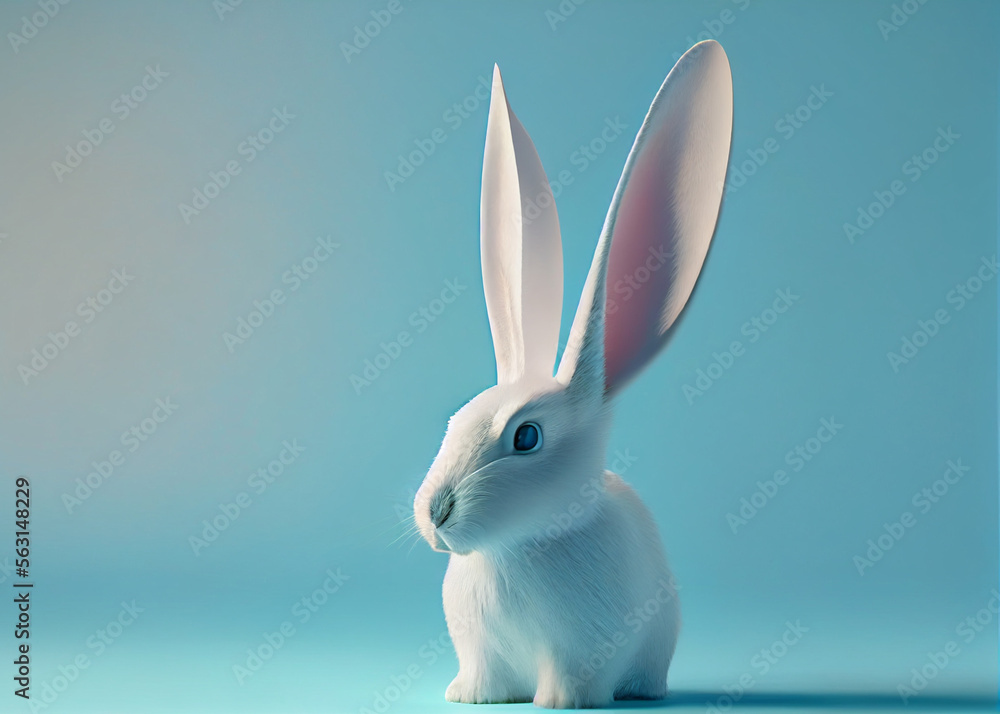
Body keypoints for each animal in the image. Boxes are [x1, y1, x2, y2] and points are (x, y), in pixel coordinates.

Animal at [412, 40, 733, 709]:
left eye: (526, 436)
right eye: (456, 419)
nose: (436, 514)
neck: (514, 549)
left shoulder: (584, 648)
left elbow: (574, 676)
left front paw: (560, 703)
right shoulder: (479, 647)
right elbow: (483, 674)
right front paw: (469, 697)